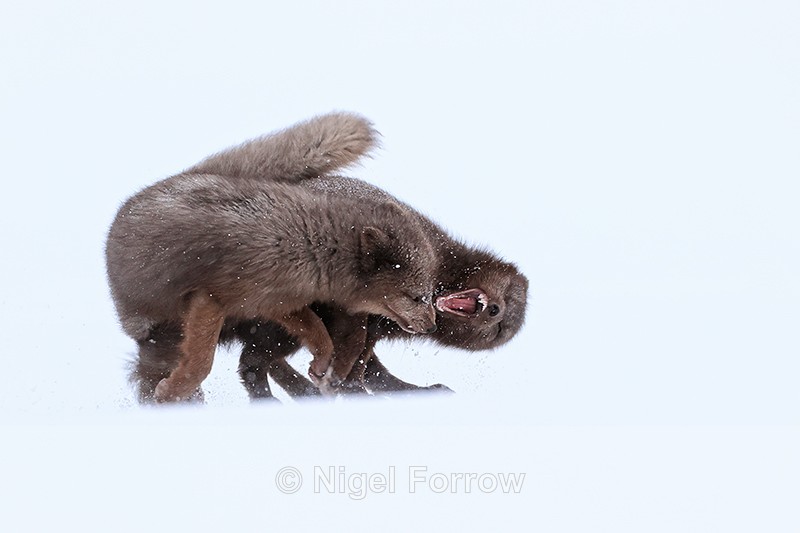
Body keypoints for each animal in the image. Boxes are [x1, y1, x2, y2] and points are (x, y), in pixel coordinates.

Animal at [106, 113, 438, 402]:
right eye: (415, 297)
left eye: (430, 294)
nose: (433, 327)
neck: (306, 245)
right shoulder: (213, 298)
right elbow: (202, 364)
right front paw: (170, 392)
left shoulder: (277, 303)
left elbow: (322, 339)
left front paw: (320, 368)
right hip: (162, 331)